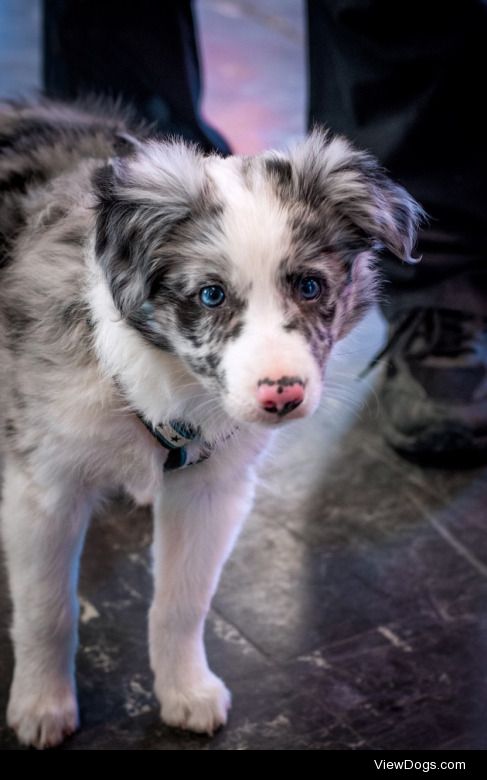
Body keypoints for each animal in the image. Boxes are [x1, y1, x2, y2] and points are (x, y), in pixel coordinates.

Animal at [0, 99, 422, 748]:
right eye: (210, 295)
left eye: (310, 286)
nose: (282, 397)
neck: (160, 378)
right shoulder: (43, 487)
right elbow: (48, 607)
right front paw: (43, 706)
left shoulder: (212, 486)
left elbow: (183, 601)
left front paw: (186, 692)